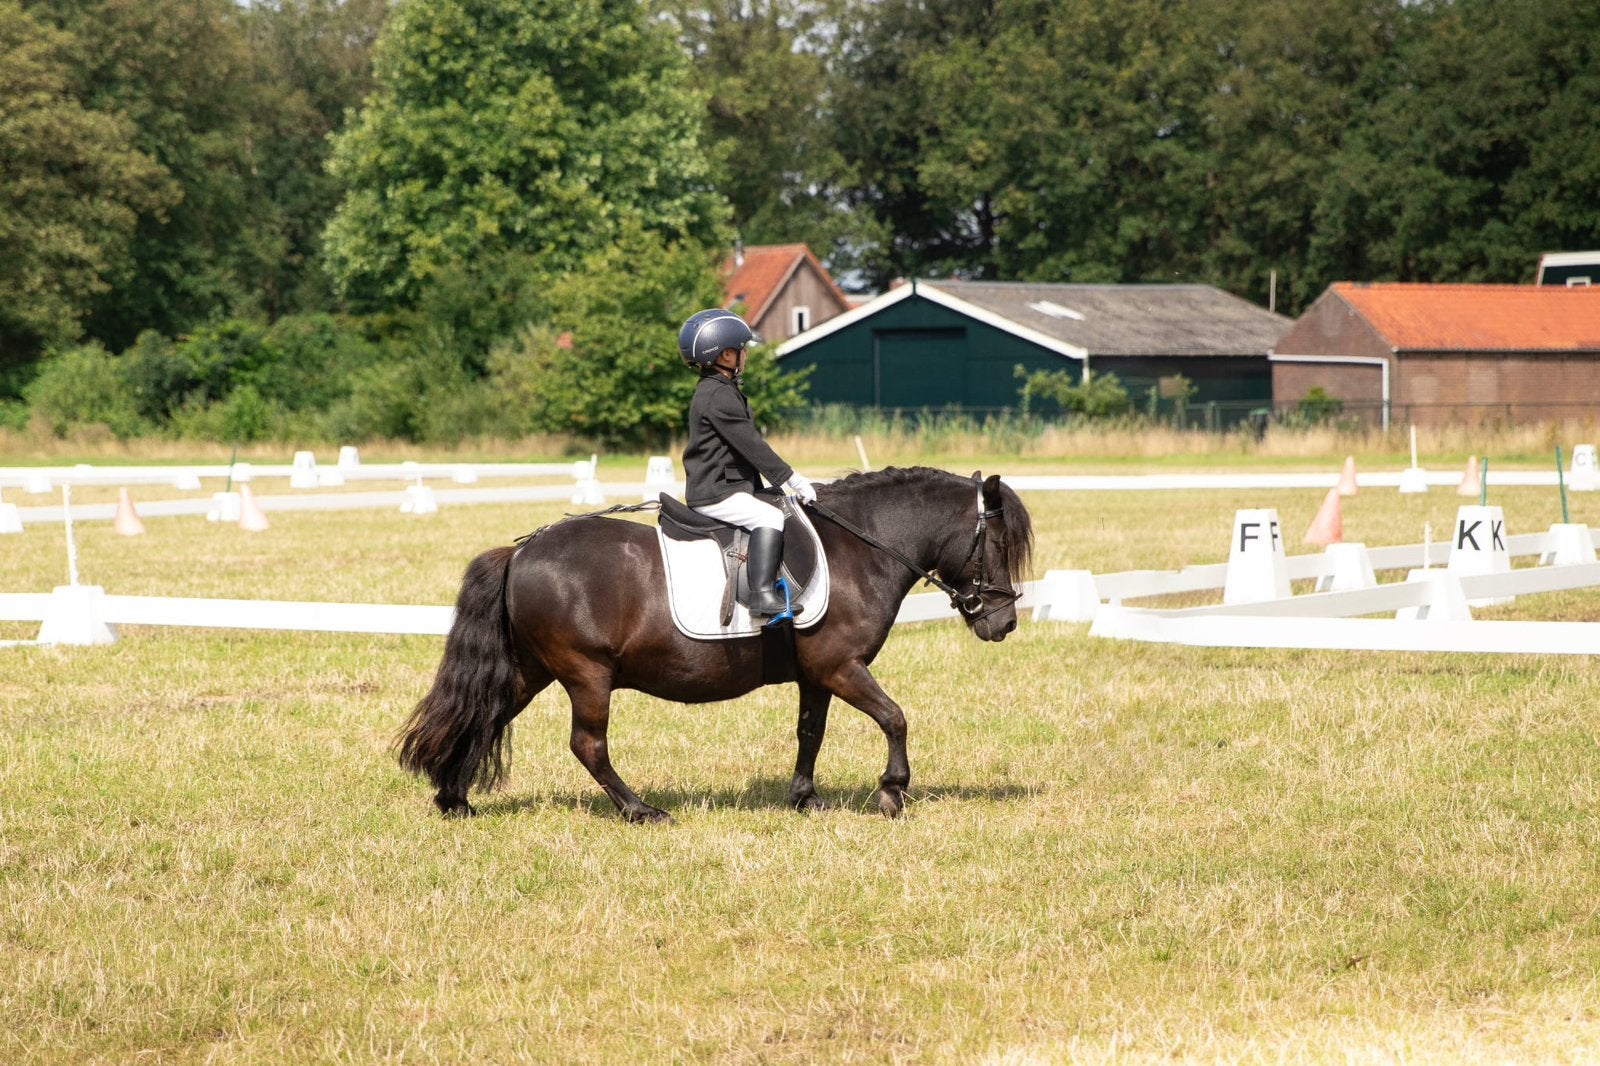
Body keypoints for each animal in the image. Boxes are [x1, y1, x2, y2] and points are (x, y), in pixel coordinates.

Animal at [396, 466, 1034, 822]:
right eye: (998, 543)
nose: (1003, 623)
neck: (862, 547)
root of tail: (524, 550)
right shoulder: (841, 665)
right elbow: (895, 717)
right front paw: (892, 792)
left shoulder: (817, 674)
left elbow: (810, 732)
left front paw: (806, 799)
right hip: (585, 674)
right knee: (588, 745)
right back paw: (640, 811)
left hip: (532, 670)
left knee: (484, 715)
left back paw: (454, 799)